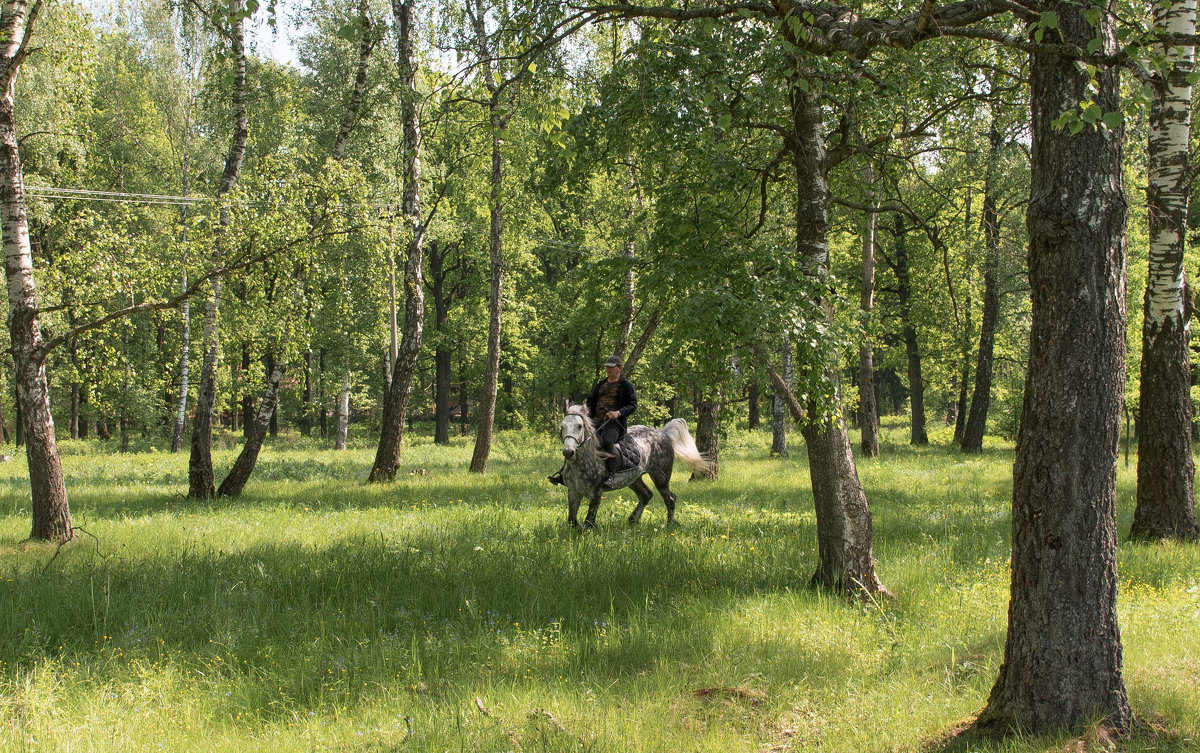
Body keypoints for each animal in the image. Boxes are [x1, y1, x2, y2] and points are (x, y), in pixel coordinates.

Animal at [559, 405, 715, 529]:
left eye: (580, 426)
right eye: (563, 426)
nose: (568, 452)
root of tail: (663, 433)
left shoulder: (596, 493)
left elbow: (589, 521)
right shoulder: (572, 492)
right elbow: (572, 520)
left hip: (660, 477)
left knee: (669, 498)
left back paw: (670, 522)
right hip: (634, 479)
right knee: (646, 495)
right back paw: (633, 519)